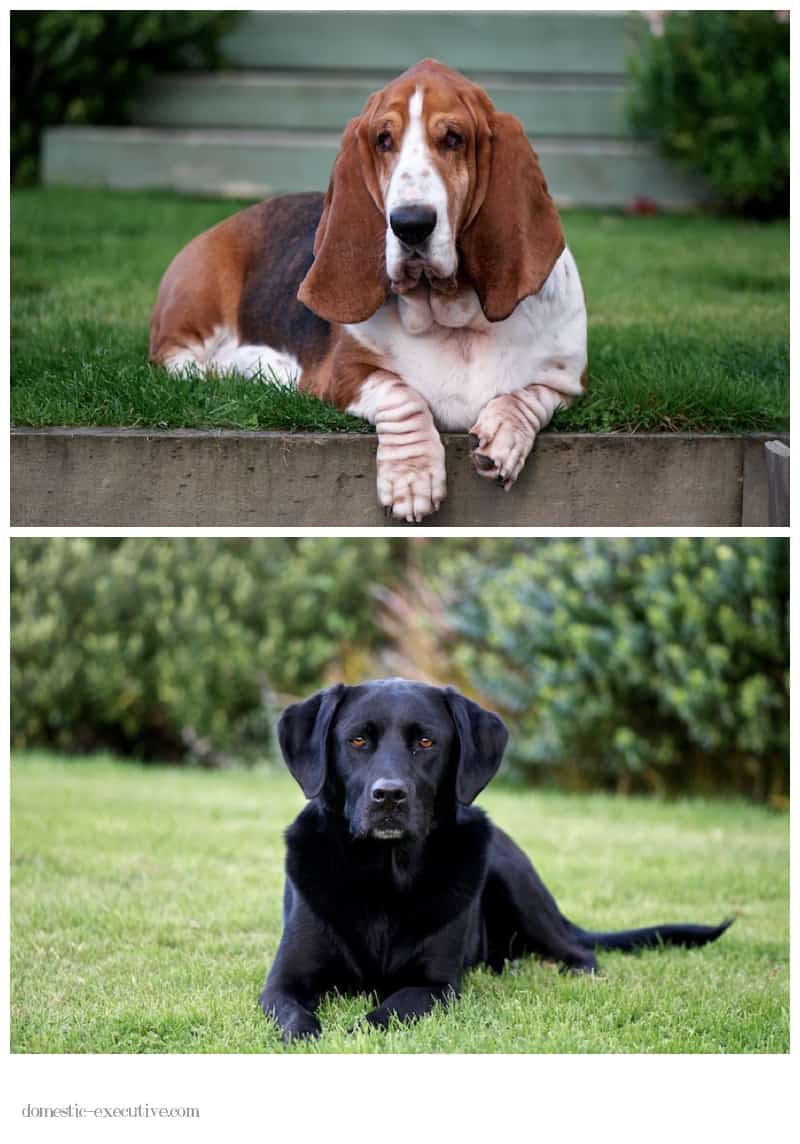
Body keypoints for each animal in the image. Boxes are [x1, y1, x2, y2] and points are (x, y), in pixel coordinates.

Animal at [149, 54, 590, 519]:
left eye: (454, 138)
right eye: (383, 140)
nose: (410, 224)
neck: (453, 318)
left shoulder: (567, 380)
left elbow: (528, 396)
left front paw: (502, 437)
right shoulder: (345, 374)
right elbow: (402, 396)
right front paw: (412, 478)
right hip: (201, 295)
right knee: (178, 361)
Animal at [259, 681, 737, 1043]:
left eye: (426, 742)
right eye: (357, 740)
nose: (389, 796)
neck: (384, 875)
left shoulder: (436, 984)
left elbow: (388, 1010)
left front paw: (357, 1031)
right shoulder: (282, 982)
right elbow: (296, 1018)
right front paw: (311, 1036)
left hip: (513, 878)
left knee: (580, 952)